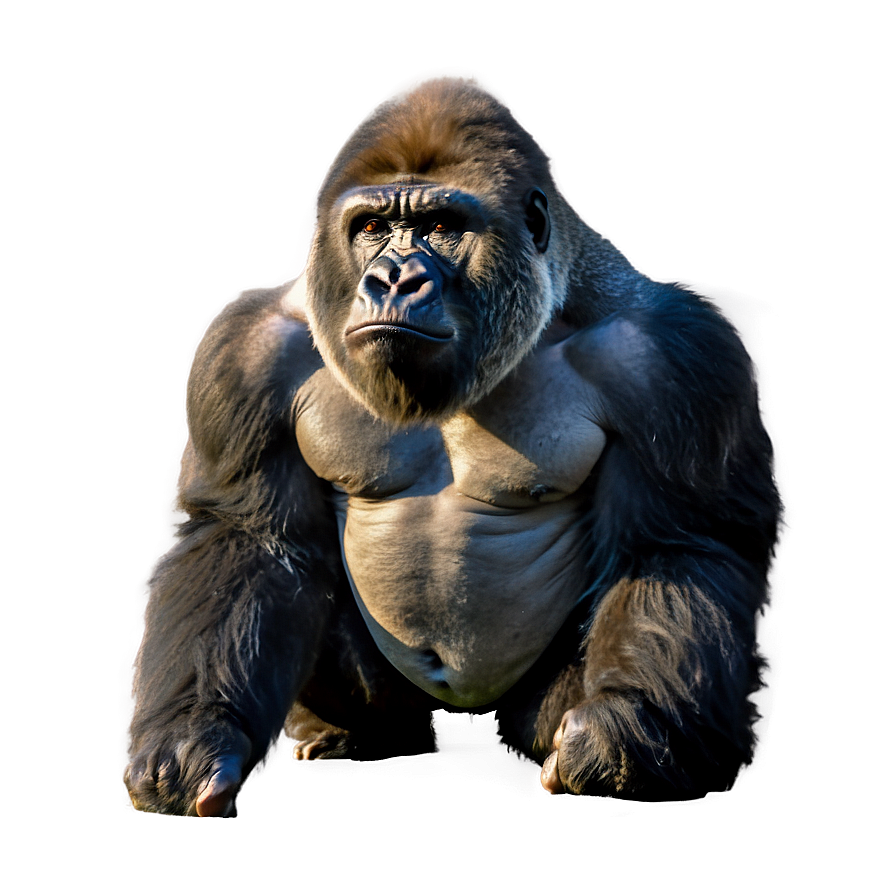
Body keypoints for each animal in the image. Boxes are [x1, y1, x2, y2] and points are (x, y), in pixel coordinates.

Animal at [125, 77, 779, 816]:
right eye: (372, 229)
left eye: (441, 228)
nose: (392, 280)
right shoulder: (245, 353)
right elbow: (247, 540)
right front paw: (195, 735)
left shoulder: (672, 356)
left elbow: (676, 545)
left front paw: (624, 736)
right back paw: (356, 736)